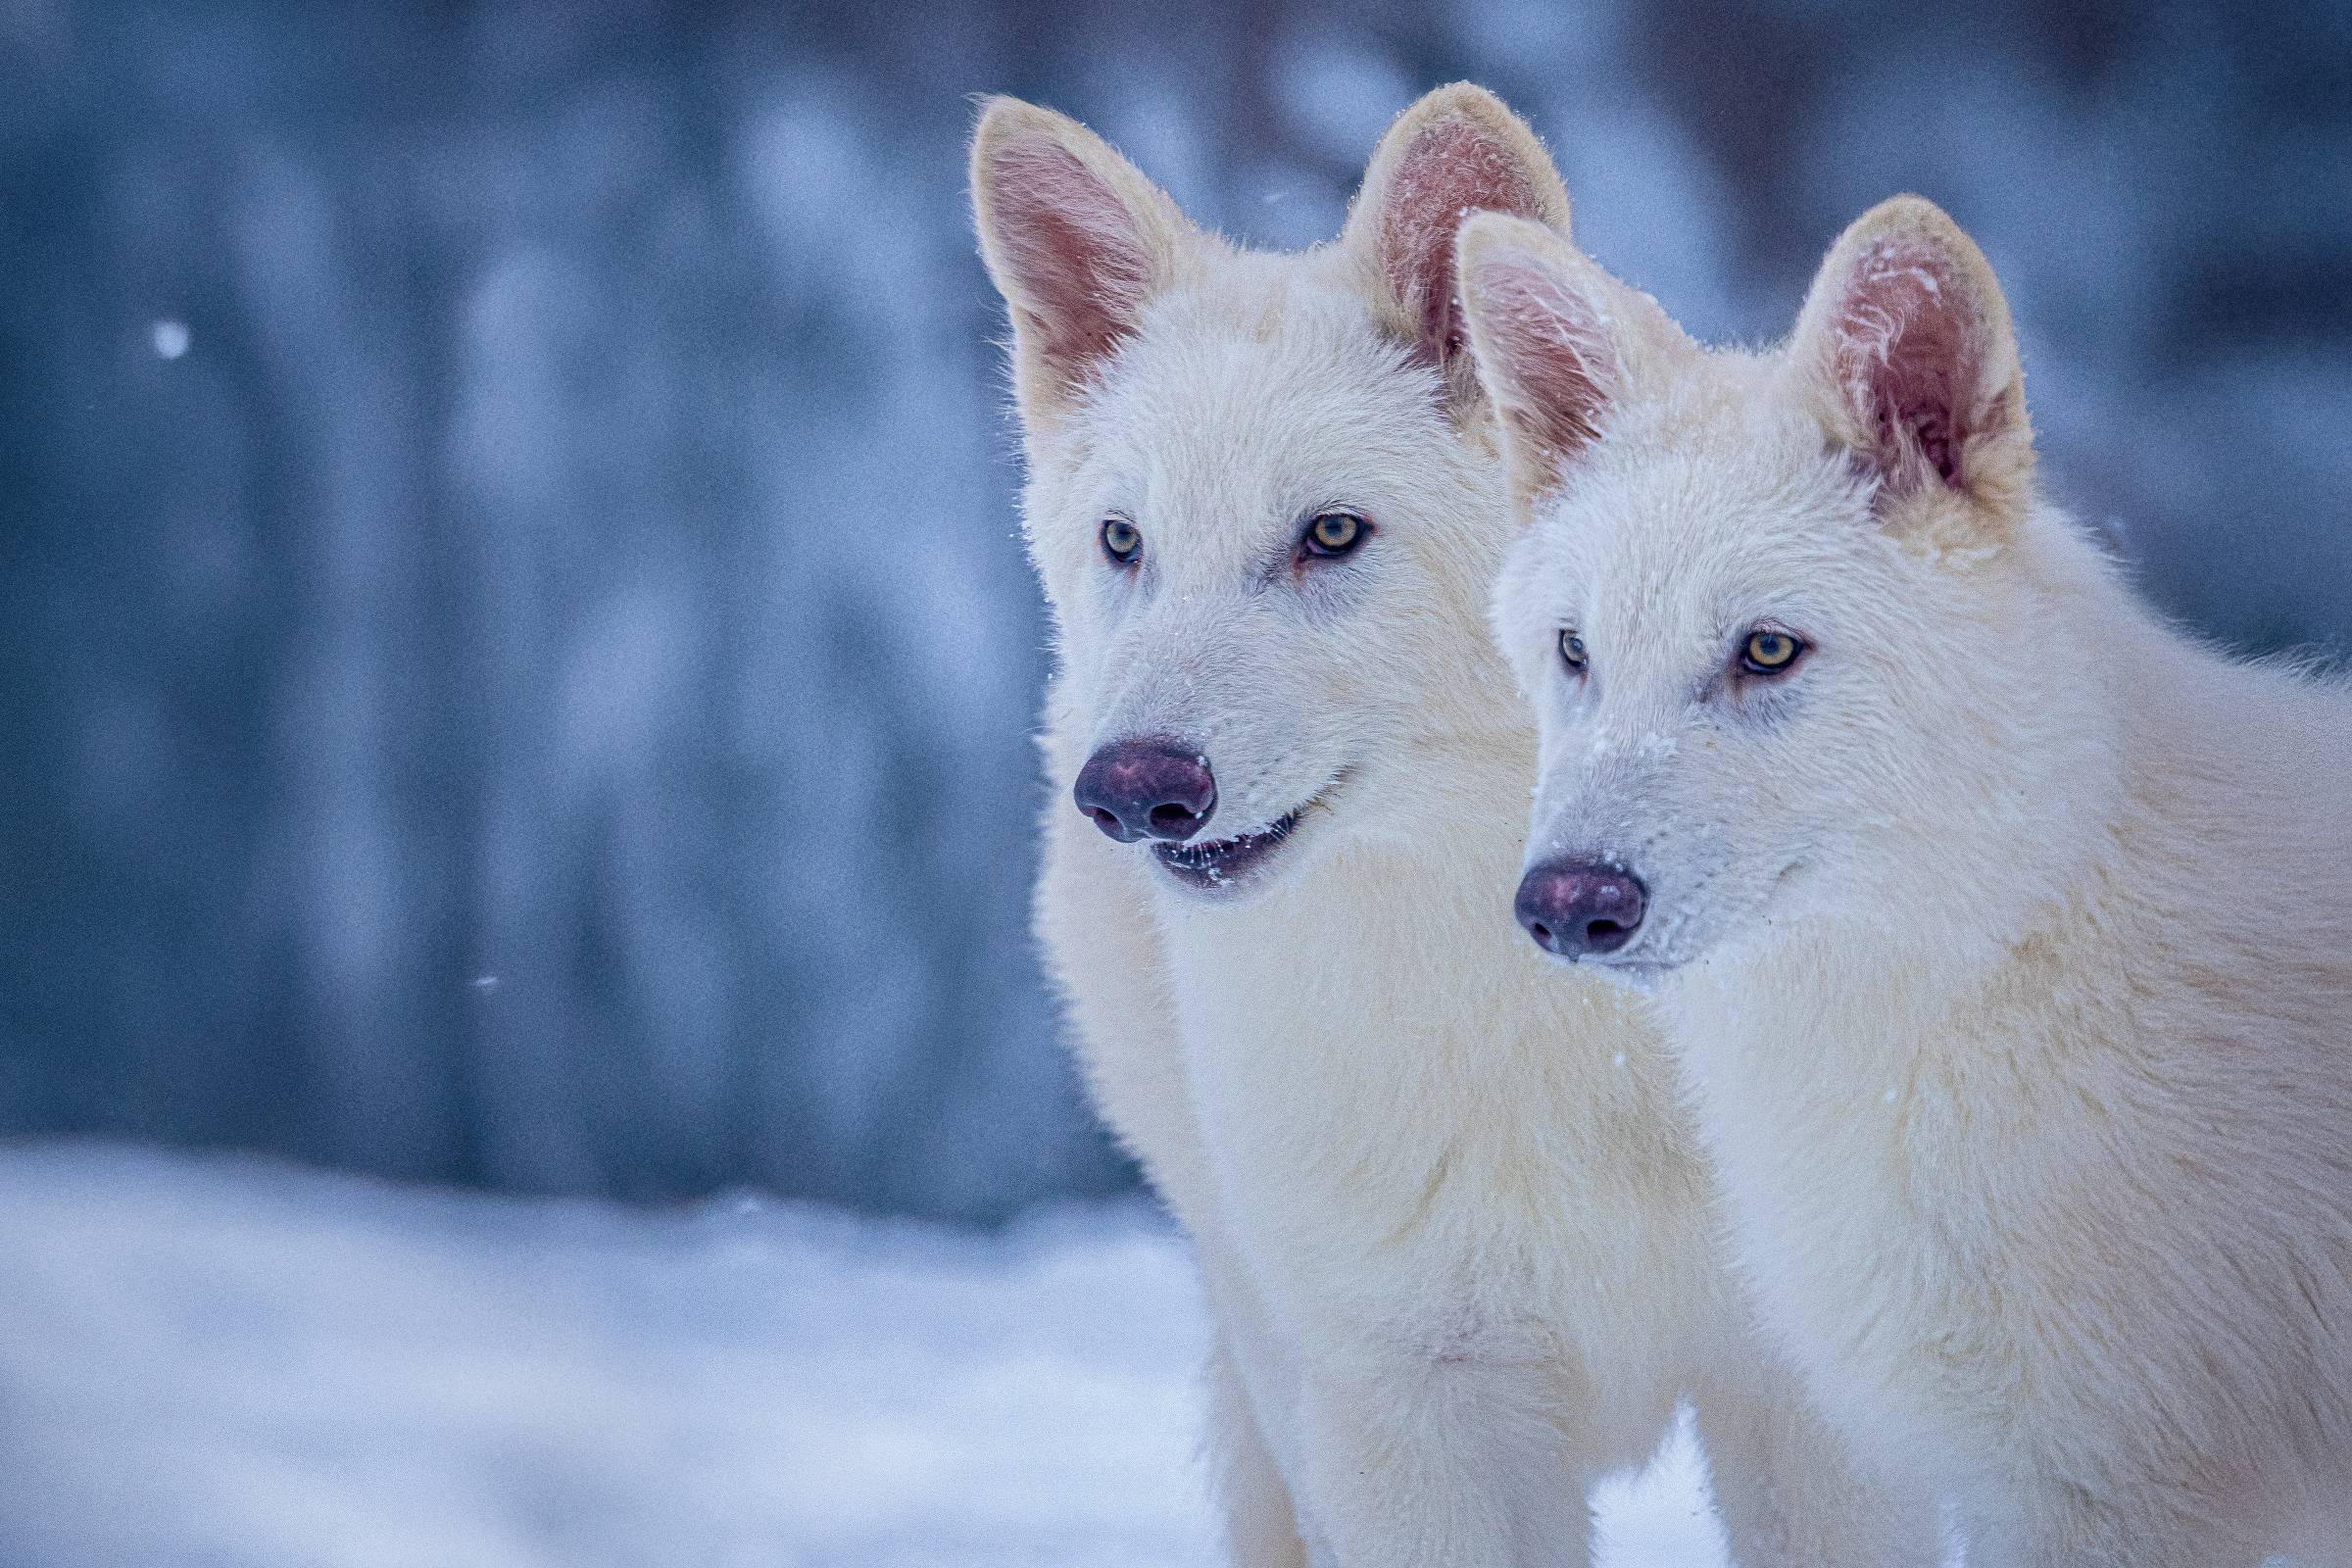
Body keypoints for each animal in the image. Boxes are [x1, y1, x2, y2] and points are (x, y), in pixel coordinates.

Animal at [970, 85, 1936, 1567]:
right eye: (1126, 542)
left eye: (1331, 534)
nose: (1133, 787)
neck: (1560, 1027)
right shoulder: (1410, 1406)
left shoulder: (1809, 1403)